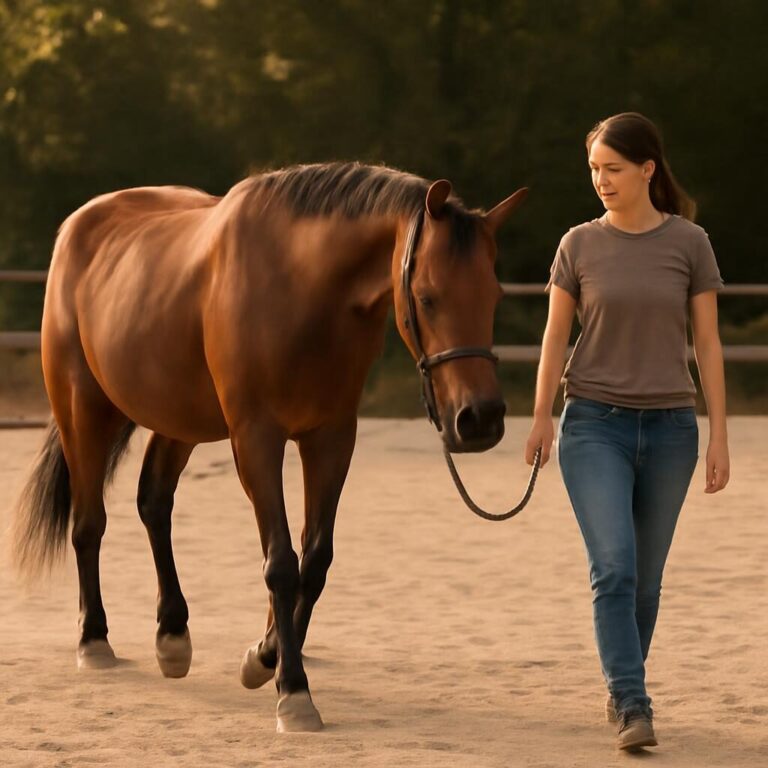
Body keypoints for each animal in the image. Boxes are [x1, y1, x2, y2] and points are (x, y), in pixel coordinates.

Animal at [13, 162, 527, 732]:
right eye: (428, 297)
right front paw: (294, 692)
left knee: (153, 503)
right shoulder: (255, 439)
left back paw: (172, 636)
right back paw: (94, 641)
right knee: (89, 522)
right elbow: (280, 561)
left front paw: (265, 656)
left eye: (494, 296)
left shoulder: (331, 439)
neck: (301, 287)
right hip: (82, 408)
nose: (480, 420)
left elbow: (315, 561)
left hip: (179, 419)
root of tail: (78, 225)